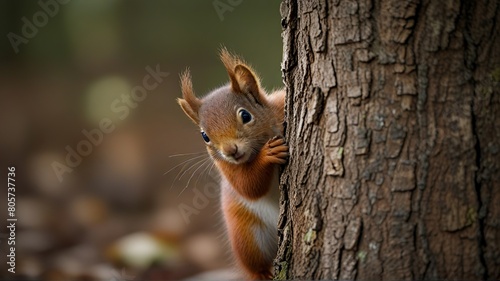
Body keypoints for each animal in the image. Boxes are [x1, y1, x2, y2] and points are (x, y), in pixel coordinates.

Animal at [178, 48, 288, 278]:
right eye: (204, 136)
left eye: (245, 115)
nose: (230, 151)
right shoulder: (226, 168)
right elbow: (248, 186)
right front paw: (267, 154)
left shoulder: (280, 104)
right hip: (246, 236)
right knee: (253, 265)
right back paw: (263, 273)